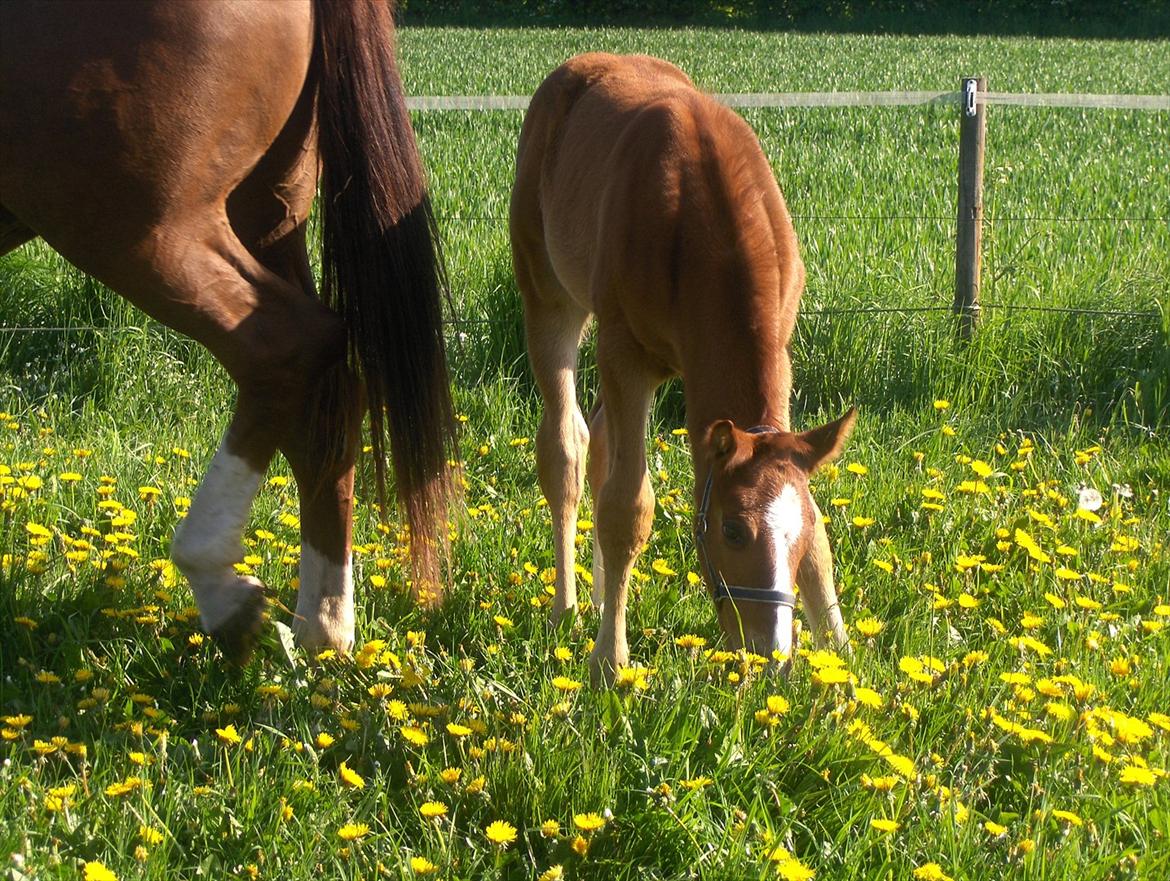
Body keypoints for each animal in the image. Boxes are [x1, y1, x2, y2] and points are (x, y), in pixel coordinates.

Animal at [0, 0, 456, 659]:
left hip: (134, 227)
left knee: (284, 350)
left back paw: (220, 584)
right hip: (266, 215)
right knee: (326, 395)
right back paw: (322, 625)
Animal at [507, 54, 856, 683]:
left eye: (796, 532)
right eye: (733, 529)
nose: (772, 653)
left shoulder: (783, 344)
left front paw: (841, 659)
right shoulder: (625, 353)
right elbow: (627, 506)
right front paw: (609, 662)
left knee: (599, 442)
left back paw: (599, 597)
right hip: (550, 297)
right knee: (567, 448)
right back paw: (567, 607)